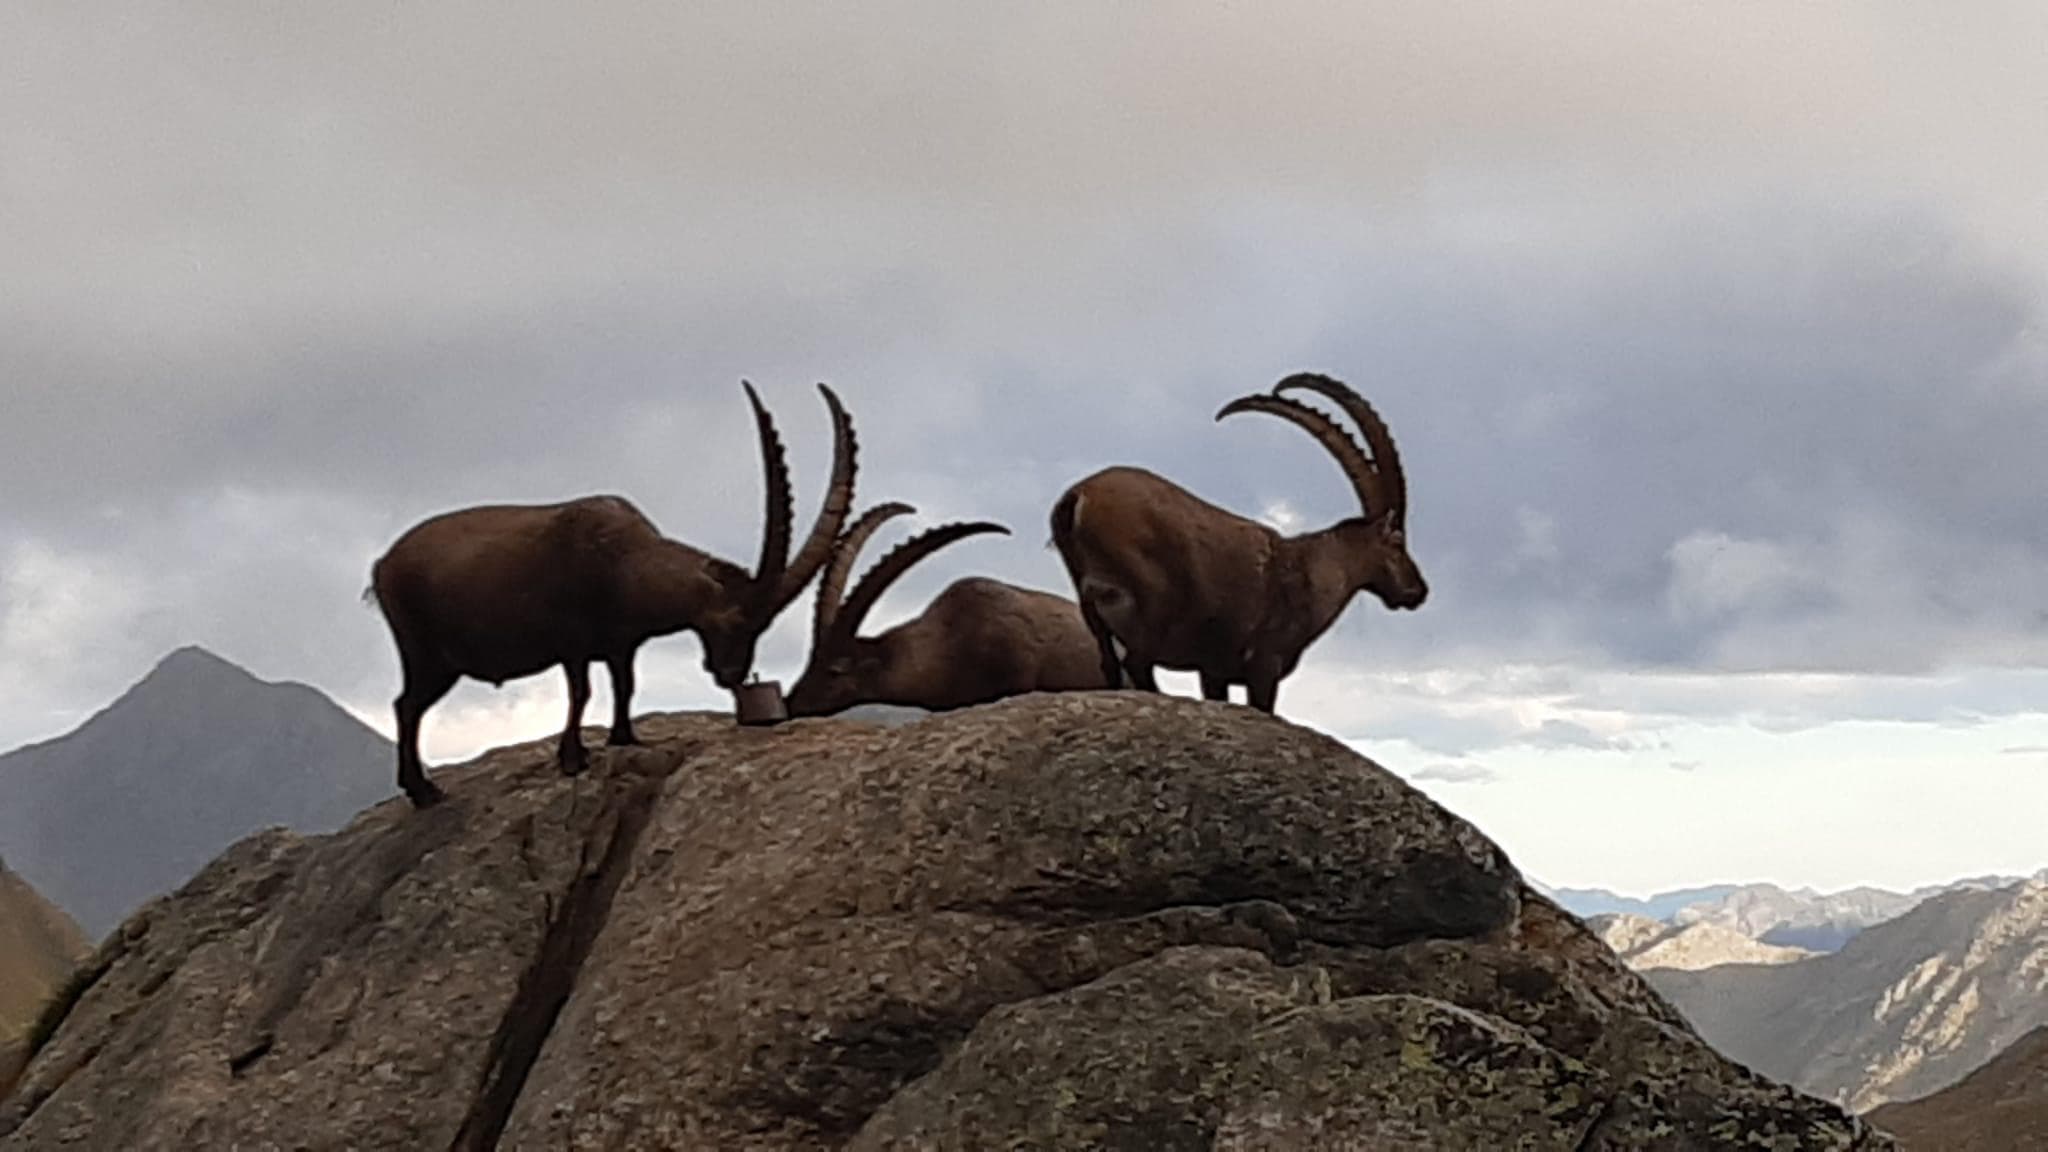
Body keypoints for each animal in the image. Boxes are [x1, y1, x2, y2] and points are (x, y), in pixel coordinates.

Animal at [366, 381, 858, 807]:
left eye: (763, 625)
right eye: (736, 618)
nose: (732, 673)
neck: (624, 564)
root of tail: (383, 565)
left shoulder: (622, 645)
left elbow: (626, 685)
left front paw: (624, 737)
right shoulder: (572, 642)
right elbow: (581, 693)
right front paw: (571, 758)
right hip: (425, 653)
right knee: (406, 705)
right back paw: (423, 792)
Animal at [1048, 371, 1426, 713]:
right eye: (1397, 541)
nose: (1417, 591)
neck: (1311, 569)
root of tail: (1078, 498)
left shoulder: (1213, 671)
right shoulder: (1264, 664)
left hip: (1094, 611)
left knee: (1111, 665)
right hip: (1149, 603)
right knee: (1138, 666)